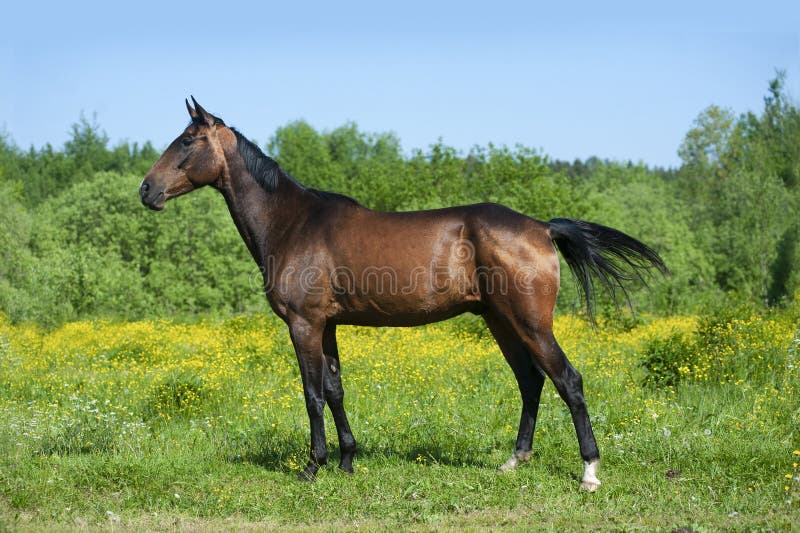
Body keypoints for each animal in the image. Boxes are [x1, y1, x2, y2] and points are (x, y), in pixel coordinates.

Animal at [139, 98, 667, 491]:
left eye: (187, 140)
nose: (146, 190)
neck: (293, 222)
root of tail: (540, 227)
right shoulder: (327, 324)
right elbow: (335, 389)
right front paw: (347, 462)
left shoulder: (304, 324)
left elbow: (312, 393)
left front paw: (313, 466)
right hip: (500, 321)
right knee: (530, 381)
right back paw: (514, 461)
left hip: (530, 323)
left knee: (567, 381)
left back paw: (590, 473)